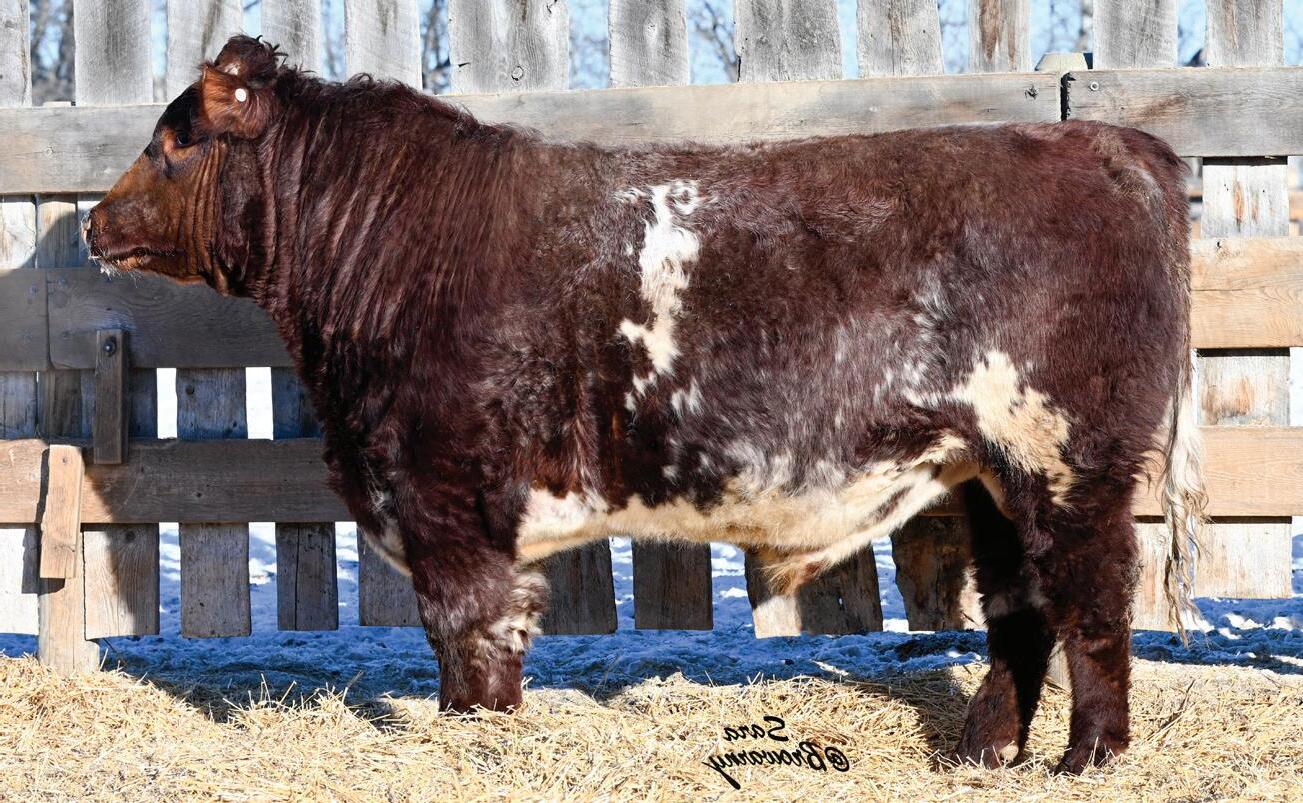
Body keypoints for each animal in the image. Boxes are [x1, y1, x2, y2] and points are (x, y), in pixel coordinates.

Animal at [85, 36, 1206, 774]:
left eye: (175, 140)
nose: (93, 222)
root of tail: (1113, 147)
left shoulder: (443, 488)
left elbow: (468, 626)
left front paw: (475, 733)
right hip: (986, 469)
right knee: (1017, 604)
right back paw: (980, 751)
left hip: (1067, 453)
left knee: (1093, 594)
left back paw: (1089, 755)